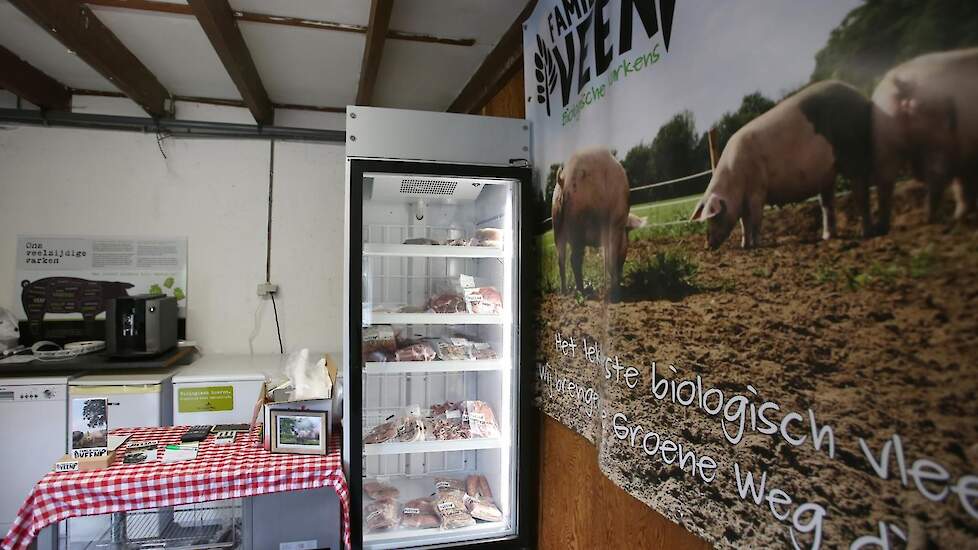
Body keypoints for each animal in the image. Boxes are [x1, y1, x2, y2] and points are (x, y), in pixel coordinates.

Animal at [552, 149, 636, 298]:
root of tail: (563, 179)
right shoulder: (614, 228)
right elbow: (611, 259)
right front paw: (615, 292)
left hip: (557, 226)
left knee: (561, 260)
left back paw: (565, 292)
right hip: (577, 225)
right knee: (574, 260)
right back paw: (583, 292)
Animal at [692, 80, 872, 248]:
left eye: (714, 218)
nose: (707, 246)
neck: (733, 180)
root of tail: (858, 94)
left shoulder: (757, 191)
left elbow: (755, 219)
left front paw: (756, 245)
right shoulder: (742, 204)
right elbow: (744, 223)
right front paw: (744, 246)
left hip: (852, 152)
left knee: (860, 189)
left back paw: (866, 233)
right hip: (828, 174)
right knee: (827, 204)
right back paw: (828, 236)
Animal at [868, 46, 976, 230]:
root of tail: (904, 84)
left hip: (884, 133)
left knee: (885, 179)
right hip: (936, 136)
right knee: (937, 176)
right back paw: (936, 220)